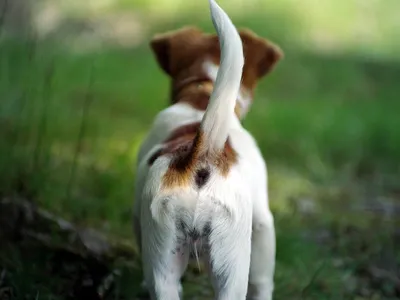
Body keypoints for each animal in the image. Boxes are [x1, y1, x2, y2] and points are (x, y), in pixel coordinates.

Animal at [133, 1, 282, 298]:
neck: (201, 96)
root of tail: (201, 153)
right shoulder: (263, 220)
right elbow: (263, 280)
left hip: (165, 263)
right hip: (232, 265)